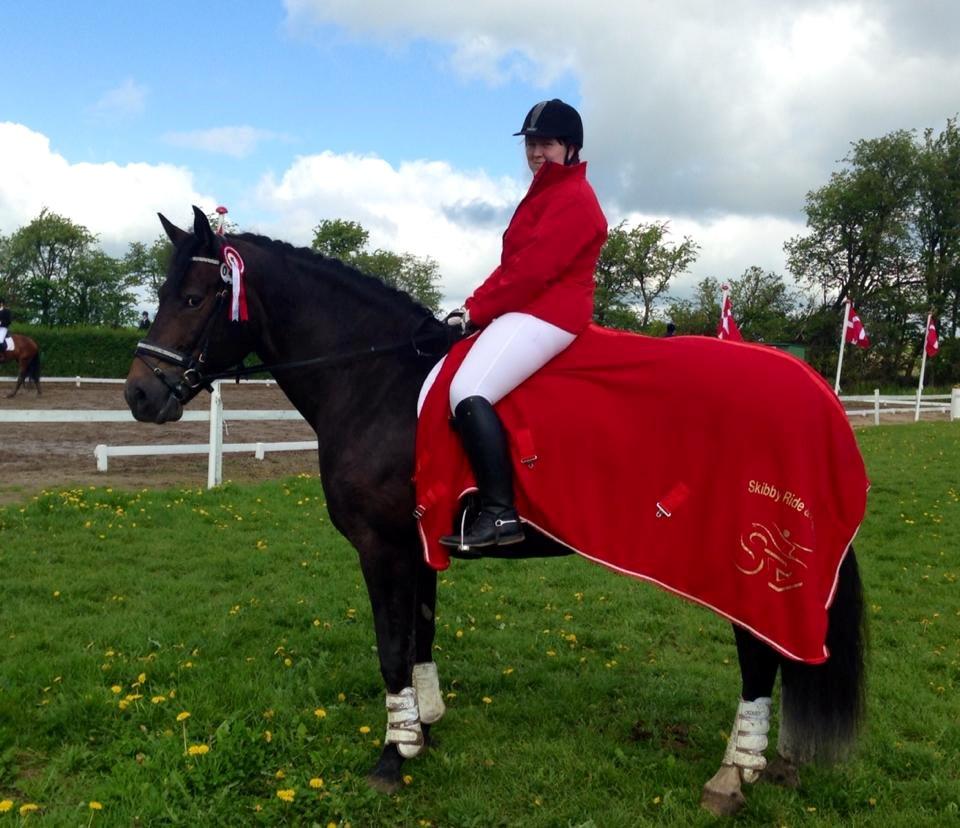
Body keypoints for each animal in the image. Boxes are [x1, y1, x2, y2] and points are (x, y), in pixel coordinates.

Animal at [124, 207, 868, 816]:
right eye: (156, 297)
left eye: (193, 297)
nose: (138, 395)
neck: (379, 382)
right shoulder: (416, 543)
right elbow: (420, 635)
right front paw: (423, 728)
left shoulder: (380, 547)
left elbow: (390, 647)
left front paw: (391, 758)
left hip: (743, 559)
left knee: (759, 655)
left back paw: (732, 775)